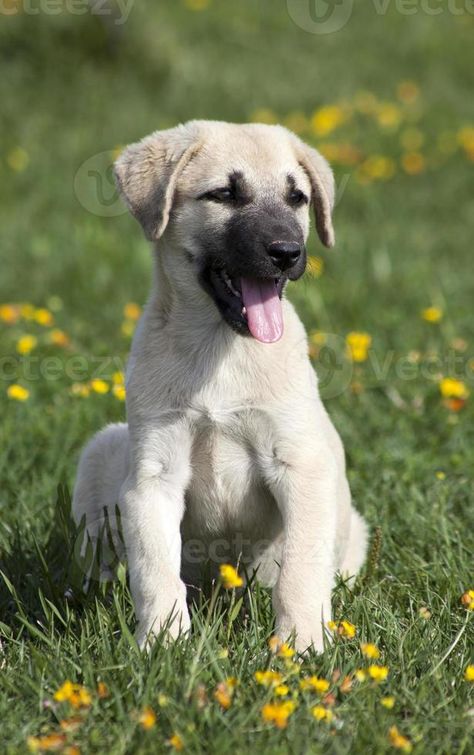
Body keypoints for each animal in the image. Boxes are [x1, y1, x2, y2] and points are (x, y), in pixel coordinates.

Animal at [72, 121, 368, 652]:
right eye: (225, 194)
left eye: (297, 197)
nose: (287, 253)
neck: (222, 349)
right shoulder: (154, 476)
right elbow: (155, 569)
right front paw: (163, 644)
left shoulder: (301, 466)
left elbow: (300, 570)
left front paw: (301, 645)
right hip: (102, 452)